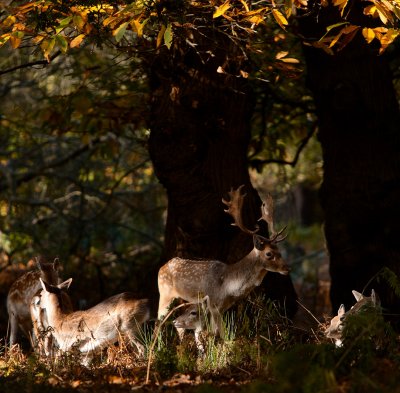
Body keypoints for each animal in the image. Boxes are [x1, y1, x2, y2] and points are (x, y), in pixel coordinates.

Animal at [157, 185, 290, 336]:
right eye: (268, 254)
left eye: (279, 250)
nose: (287, 268)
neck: (228, 286)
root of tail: (162, 267)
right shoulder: (214, 305)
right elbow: (221, 333)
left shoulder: (223, 307)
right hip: (165, 293)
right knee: (157, 323)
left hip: (180, 297)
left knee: (178, 325)